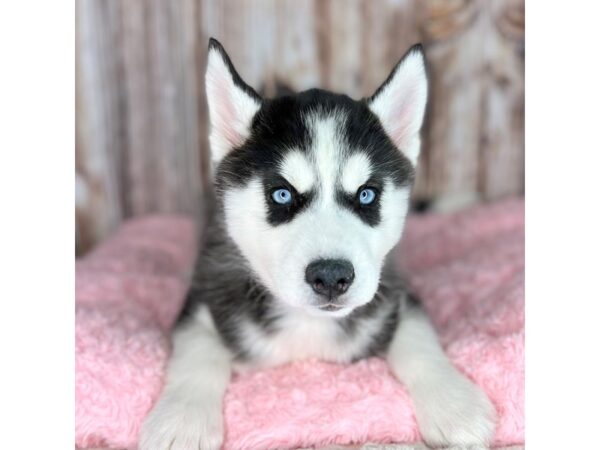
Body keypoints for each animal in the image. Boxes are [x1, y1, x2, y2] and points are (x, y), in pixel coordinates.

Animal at [142, 37, 496, 450]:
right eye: (281, 194)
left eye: (366, 195)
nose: (331, 277)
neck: (308, 326)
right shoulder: (203, 298)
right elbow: (197, 352)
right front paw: (181, 420)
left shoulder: (395, 292)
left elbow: (419, 339)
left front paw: (455, 404)